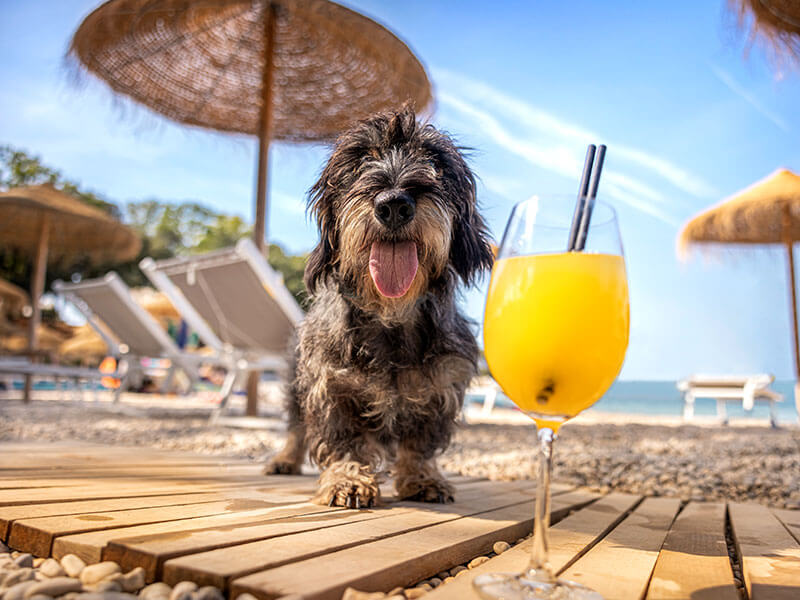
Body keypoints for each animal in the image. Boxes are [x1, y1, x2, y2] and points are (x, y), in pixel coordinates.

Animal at [264, 105, 494, 508]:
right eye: (362, 160)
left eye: (433, 161)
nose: (394, 205)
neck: (391, 314)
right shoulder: (330, 386)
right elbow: (342, 440)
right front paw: (348, 479)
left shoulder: (440, 386)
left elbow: (420, 443)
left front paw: (422, 477)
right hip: (295, 381)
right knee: (295, 425)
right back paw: (285, 459)